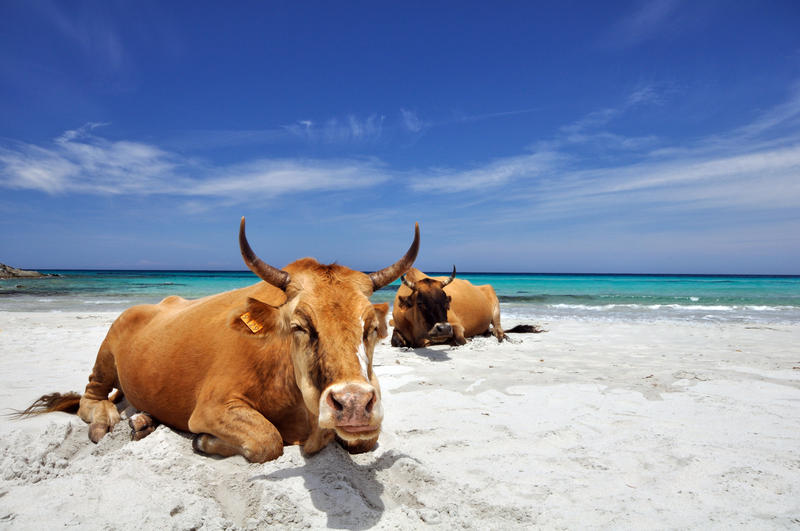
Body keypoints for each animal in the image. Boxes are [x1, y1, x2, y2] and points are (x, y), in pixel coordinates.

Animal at [17, 218, 418, 464]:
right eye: (299, 326)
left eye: (371, 327)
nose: (353, 404)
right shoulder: (212, 406)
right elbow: (267, 440)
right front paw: (204, 441)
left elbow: (367, 439)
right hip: (106, 353)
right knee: (92, 396)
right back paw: (107, 420)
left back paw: (143, 421)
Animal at [388, 266, 536, 350]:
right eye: (420, 303)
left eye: (446, 302)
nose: (444, 329)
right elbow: (396, 341)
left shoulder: (457, 326)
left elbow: (459, 340)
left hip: (496, 310)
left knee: (499, 331)